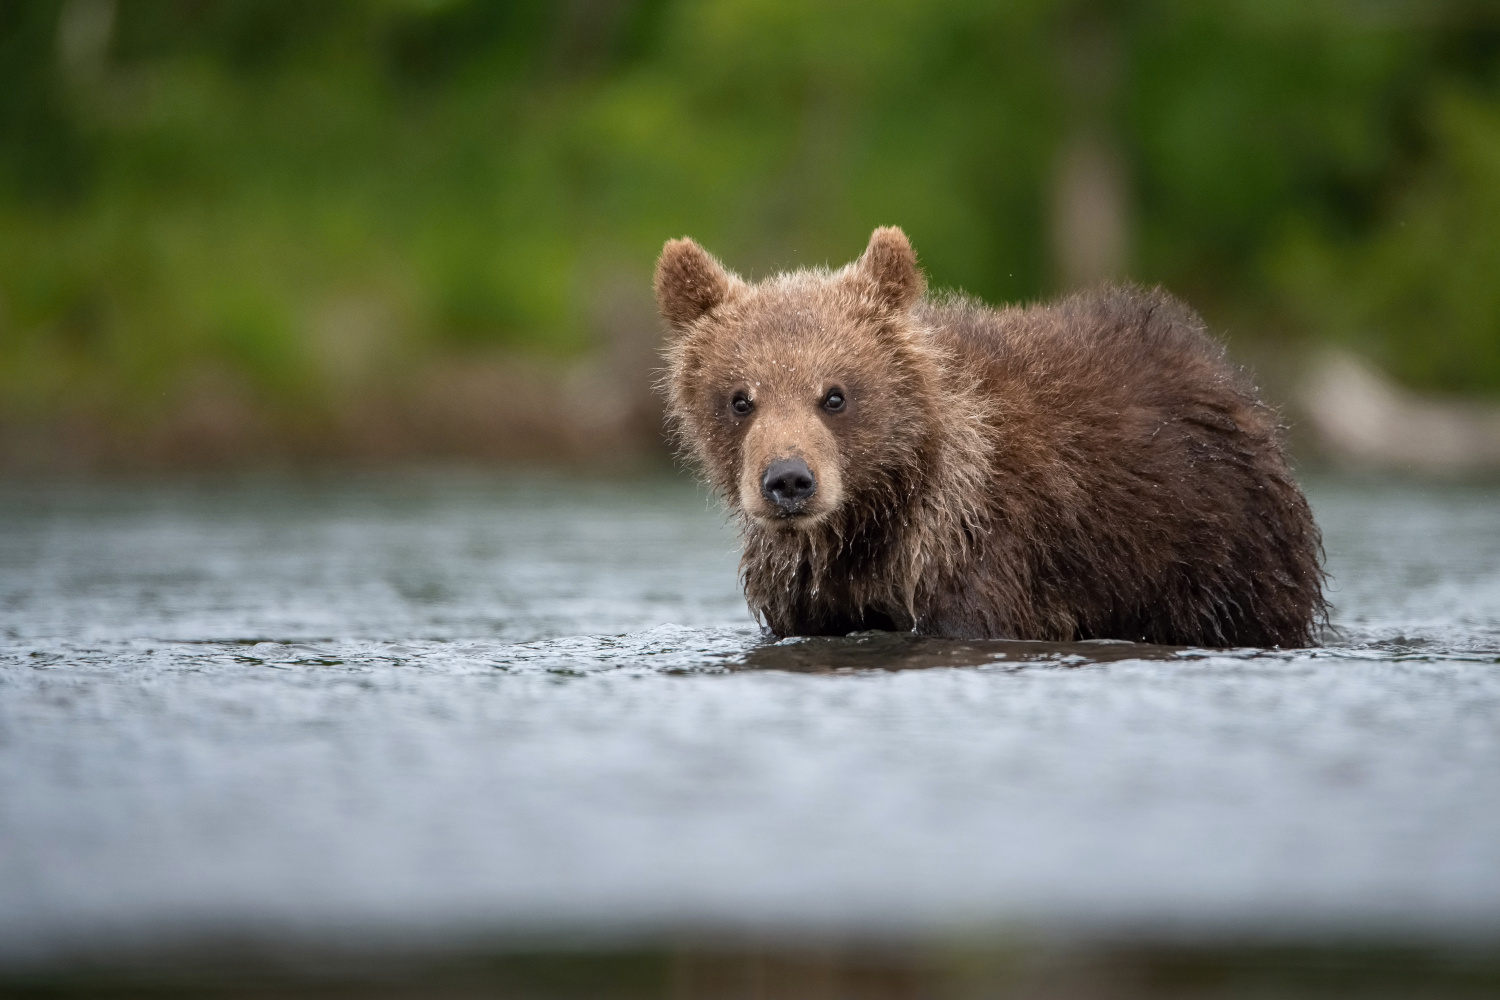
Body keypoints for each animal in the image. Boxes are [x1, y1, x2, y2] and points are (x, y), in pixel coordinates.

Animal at [657, 227, 1326, 650]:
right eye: (740, 398)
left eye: (836, 394)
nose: (789, 480)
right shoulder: (808, 593)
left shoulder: (984, 552)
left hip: (1215, 546)